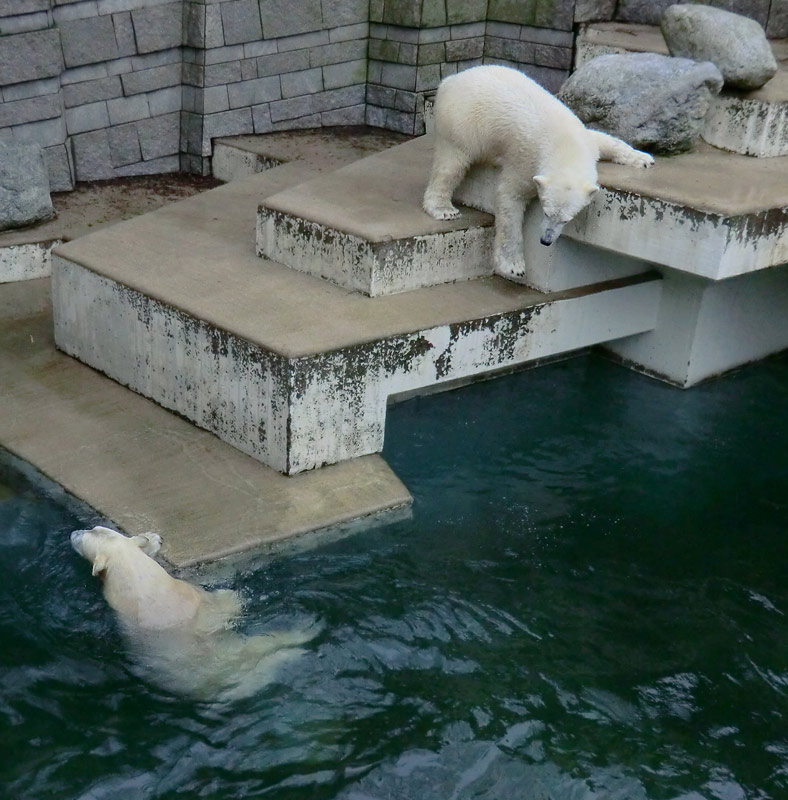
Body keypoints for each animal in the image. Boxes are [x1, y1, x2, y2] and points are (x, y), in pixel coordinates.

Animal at [422, 66, 656, 284]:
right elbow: (509, 199)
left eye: (566, 219)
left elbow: (607, 141)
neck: (565, 146)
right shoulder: (527, 161)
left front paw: (644, 159)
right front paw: (513, 266)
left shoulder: (586, 140)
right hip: (463, 123)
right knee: (451, 165)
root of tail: (450, 80)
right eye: (546, 212)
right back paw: (444, 209)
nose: (546, 240)